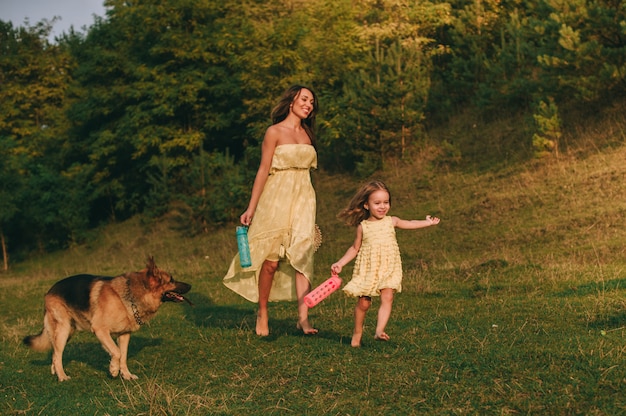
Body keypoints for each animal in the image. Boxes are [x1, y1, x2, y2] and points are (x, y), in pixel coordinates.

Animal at [22, 258, 190, 382]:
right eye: (171, 280)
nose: (191, 285)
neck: (131, 295)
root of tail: (49, 291)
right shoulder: (100, 330)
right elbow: (116, 352)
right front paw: (113, 370)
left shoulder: (124, 335)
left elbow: (123, 355)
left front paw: (126, 375)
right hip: (63, 330)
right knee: (57, 355)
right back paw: (62, 376)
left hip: (67, 331)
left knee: (55, 353)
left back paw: (55, 371)